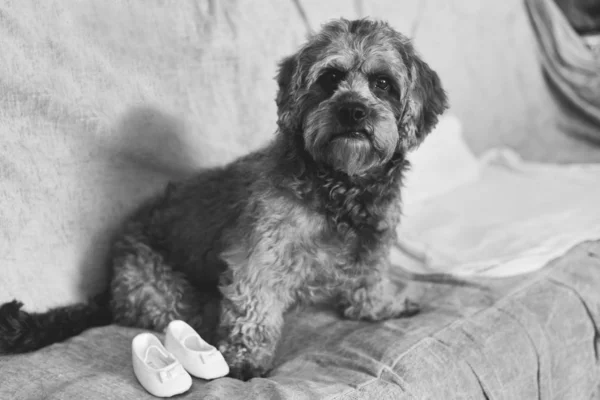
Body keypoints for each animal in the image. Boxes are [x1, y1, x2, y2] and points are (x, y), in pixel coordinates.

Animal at [0, 19, 446, 382]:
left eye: (383, 84)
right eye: (330, 77)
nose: (353, 111)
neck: (340, 183)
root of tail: (106, 292)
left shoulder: (375, 240)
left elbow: (370, 279)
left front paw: (381, 306)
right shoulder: (259, 257)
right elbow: (253, 309)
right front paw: (246, 360)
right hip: (162, 290)